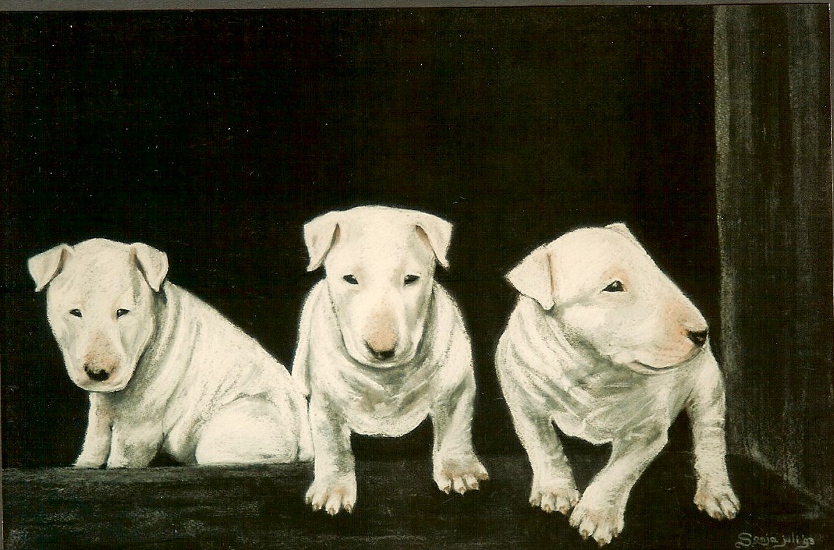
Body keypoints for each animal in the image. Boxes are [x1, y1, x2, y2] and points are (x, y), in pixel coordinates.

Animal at [28, 238, 313, 468]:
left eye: (123, 312)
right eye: (75, 312)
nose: (98, 372)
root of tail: (307, 439)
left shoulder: (141, 425)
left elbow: (124, 455)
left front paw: (114, 467)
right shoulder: (102, 407)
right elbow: (96, 437)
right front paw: (85, 464)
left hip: (243, 423)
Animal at [293, 206, 488, 515]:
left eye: (411, 278)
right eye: (350, 278)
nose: (382, 349)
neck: (386, 376)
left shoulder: (455, 385)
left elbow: (456, 426)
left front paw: (460, 473)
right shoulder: (327, 400)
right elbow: (332, 442)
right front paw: (332, 492)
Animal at [496, 223, 739, 546]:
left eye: (655, 273)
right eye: (613, 287)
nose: (701, 333)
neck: (588, 371)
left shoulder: (647, 431)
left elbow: (618, 472)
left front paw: (596, 517)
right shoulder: (523, 400)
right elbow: (542, 443)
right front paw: (555, 492)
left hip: (707, 385)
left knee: (709, 435)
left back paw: (717, 494)